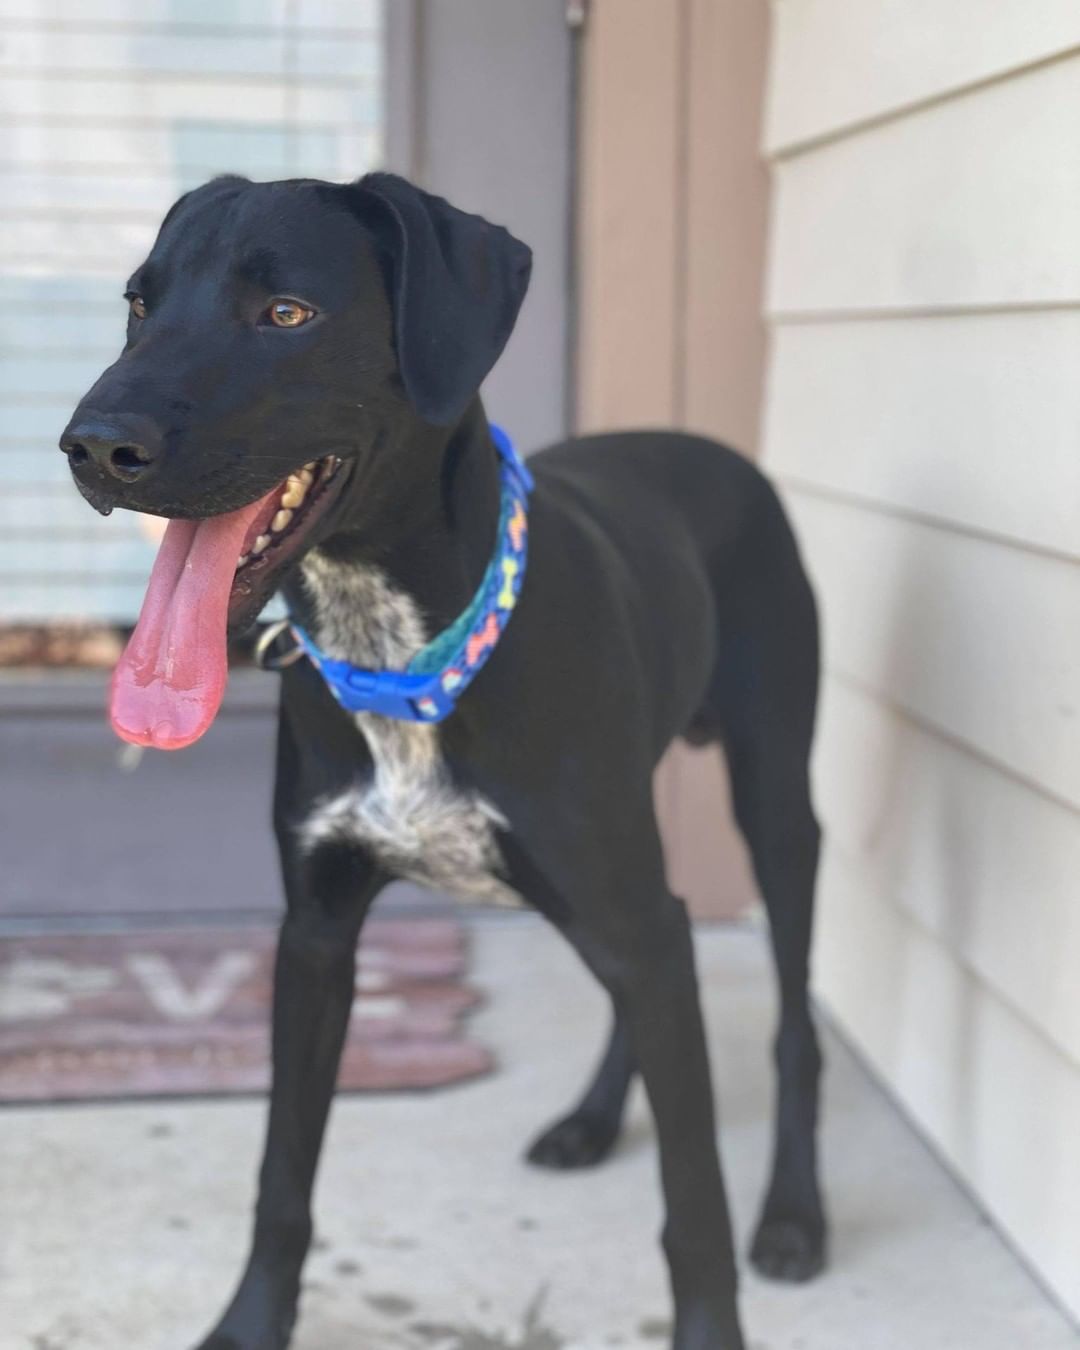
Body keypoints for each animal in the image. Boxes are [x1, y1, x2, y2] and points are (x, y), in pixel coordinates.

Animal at [63, 174, 820, 1344]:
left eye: (287, 313)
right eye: (140, 305)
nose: (93, 446)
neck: (397, 650)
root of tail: (717, 449)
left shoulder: (632, 903)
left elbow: (693, 1201)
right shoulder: (315, 935)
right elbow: (282, 1178)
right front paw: (249, 1324)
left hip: (775, 796)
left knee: (788, 1021)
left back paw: (792, 1215)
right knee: (661, 954)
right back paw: (593, 1121)